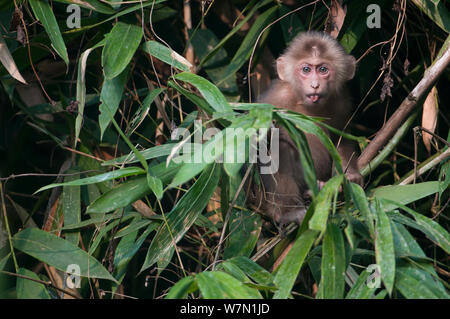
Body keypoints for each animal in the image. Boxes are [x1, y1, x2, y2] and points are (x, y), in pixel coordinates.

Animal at [248, 31, 364, 229]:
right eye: (306, 70)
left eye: (323, 69)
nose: (315, 84)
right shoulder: (276, 99)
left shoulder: (340, 101)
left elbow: (341, 137)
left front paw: (349, 174)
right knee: (281, 146)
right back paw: (289, 212)